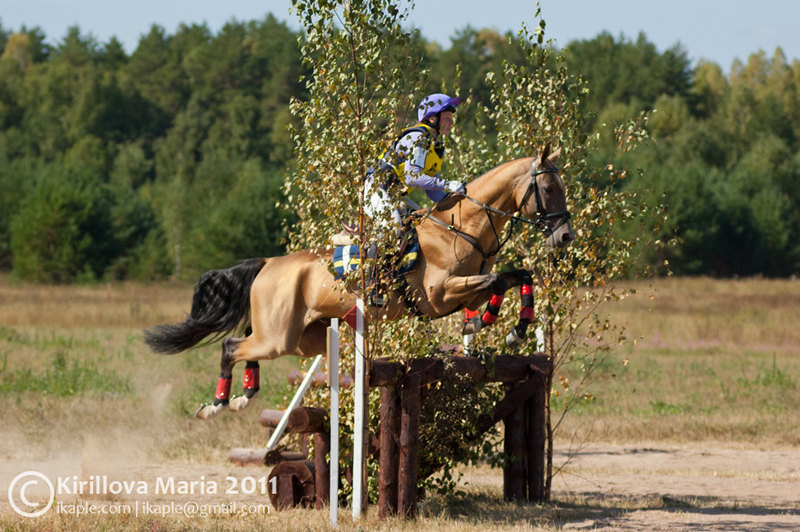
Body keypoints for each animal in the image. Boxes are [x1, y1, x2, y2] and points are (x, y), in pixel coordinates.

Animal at [142, 143, 568, 418]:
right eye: (548, 189)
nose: (565, 237)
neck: (460, 228)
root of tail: (267, 264)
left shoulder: (467, 289)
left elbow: (515, 276)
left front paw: (508, 328)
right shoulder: (438, 297)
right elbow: (496, 280)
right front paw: (494, 326)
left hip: (302, 339)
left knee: (245, 345)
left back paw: (244, 395)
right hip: (277, 336)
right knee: (232, 345)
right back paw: (219, 404)